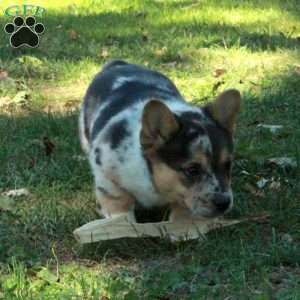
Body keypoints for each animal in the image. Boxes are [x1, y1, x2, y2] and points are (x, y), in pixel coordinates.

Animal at [78, 59, 240, 221]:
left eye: (228, 165)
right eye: (192, 170)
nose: (224, 203)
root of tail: (118, 64)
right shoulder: (107, 178)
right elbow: (119, 206)